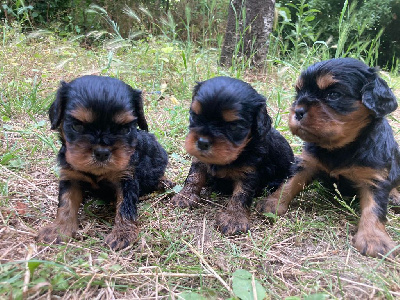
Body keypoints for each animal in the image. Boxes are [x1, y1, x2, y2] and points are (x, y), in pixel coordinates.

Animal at [38, 75, 173, 251]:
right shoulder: (70, 176)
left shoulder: (126, 178)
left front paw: (122, 234)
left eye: (125, 129)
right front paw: (59, 229)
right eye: (77, 126)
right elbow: (65, 203)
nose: (102, 152)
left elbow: (125, 206)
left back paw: (163, 183)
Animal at [172, 77, 294, 234]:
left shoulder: (249, 173)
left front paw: (234, 218)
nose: (202, 142)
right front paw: (185, 196)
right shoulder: (199, 160)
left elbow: (241, 195)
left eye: (234, 126)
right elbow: (194, 177)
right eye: (194, 115)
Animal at [256, 58, 400, 258]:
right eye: (298, 93)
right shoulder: (307, 162)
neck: (340, 148)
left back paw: (395, 196)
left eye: (333, 94)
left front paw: (373, 239)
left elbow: (374, 207)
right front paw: (273, 203)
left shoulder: (374, 177)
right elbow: (289, 182)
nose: (298, 111)